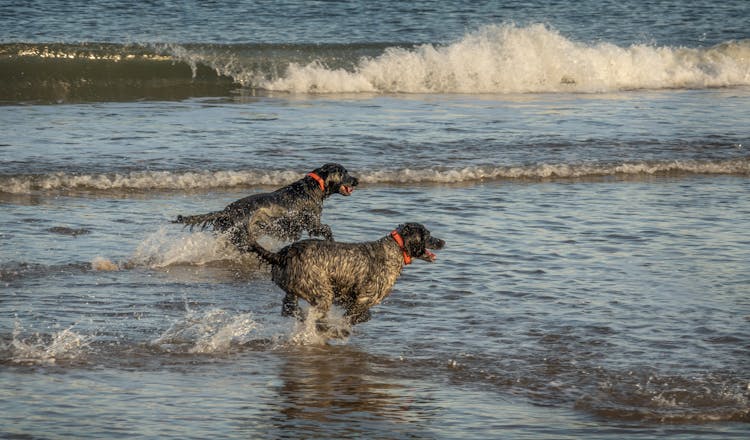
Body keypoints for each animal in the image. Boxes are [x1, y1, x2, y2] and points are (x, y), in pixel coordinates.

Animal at [173, 165, 358, 246]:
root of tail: (225, 212)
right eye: (344, 172)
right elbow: (326, 228)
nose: (357, 180)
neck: (313, 187)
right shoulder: (312, 222)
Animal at [244, 223, 446, 330]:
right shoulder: (363, 299)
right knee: (312, 315)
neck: (396, 247)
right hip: (321, 292)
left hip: (294, 290)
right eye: (427, 235)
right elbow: (358, 315)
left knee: (288, 309)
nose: (443, 241)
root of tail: (282, 255)